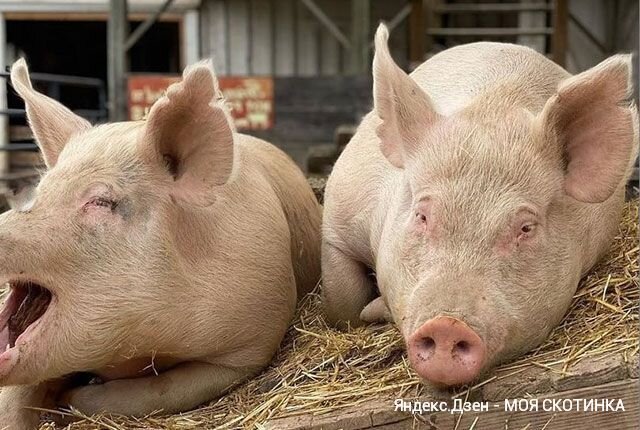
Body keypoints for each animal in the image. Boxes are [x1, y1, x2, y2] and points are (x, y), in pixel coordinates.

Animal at [0, 58, 320, 430]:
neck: (136, 348)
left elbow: (160, 391)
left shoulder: (253, 341)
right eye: (41, 192)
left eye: (101, 201)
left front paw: (69, 399)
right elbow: (13, 401)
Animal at [322, 22, 636, 386]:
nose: (447, 325)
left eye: (526, 227)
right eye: (422, 215)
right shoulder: (337, 224)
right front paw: (367, 310)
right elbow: (343, 304)